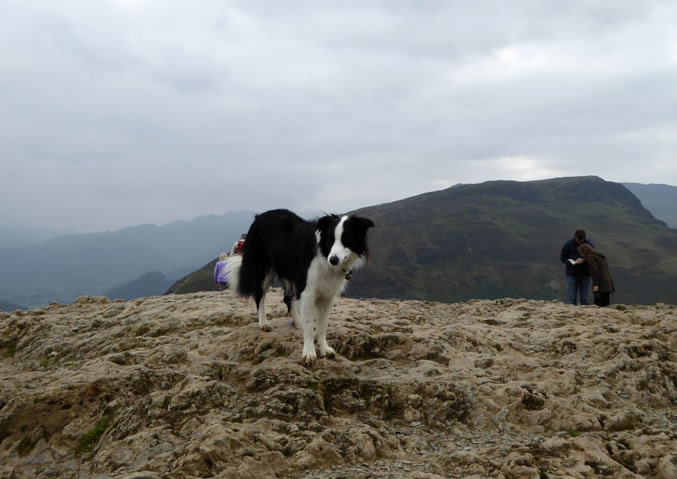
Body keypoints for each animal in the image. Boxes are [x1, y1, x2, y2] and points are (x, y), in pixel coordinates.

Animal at [227, 209, 374, 364]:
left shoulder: (328, 295)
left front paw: (324, 349)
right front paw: (309, 352)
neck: (325, 257)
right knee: (259, 295)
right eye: (330, 240)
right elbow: (309, 324)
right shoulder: (308, 291)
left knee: (287, 298)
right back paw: (264, 323)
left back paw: (298, 322)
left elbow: (323, 325)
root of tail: (259, 217)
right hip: (262, 267)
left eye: (347, 241)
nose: (333, 260)